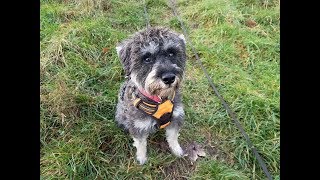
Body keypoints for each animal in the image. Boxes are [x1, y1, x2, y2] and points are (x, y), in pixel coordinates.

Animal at [114, 26, 186, 165]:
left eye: (171, 53)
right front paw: (141, 159)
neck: (159, 100)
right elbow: (141, 144)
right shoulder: (138, 126)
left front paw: (177, 150)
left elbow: (173, 137)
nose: (169, 78)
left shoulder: (175, 118)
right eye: (147, 59)